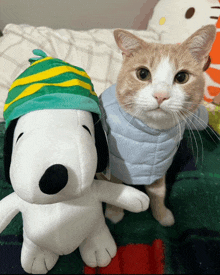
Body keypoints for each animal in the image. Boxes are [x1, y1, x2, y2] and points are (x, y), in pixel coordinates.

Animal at [99, 24, 217, 226]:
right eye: (143, 73)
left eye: (182, 77)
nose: (161, 95)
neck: (154, 134)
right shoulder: (115, 160)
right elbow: (115, 185)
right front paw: (114, 213)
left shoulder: (160, 164)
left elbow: (158, 191)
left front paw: (161, 214)